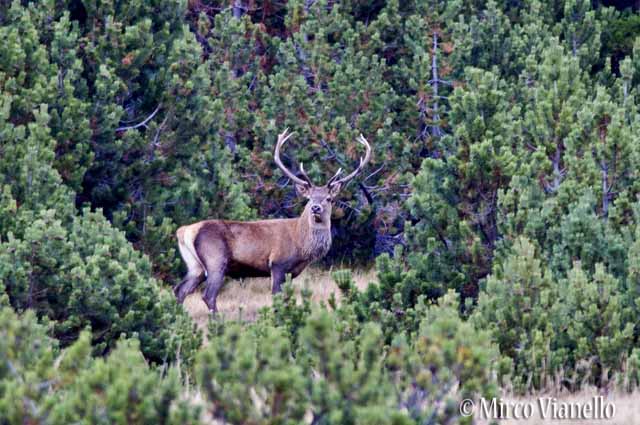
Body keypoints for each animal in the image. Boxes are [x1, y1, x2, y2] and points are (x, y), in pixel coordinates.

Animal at [174, 129, 372, 313]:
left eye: (329, 199)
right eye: (309, 198)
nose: (316, 208)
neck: (301, 244)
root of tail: (184, 231)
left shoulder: (291, 272)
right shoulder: (278, 263)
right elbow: (277, 297)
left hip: (195, 266)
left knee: (180, 290)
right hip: (216, 259)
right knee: (208, 296)